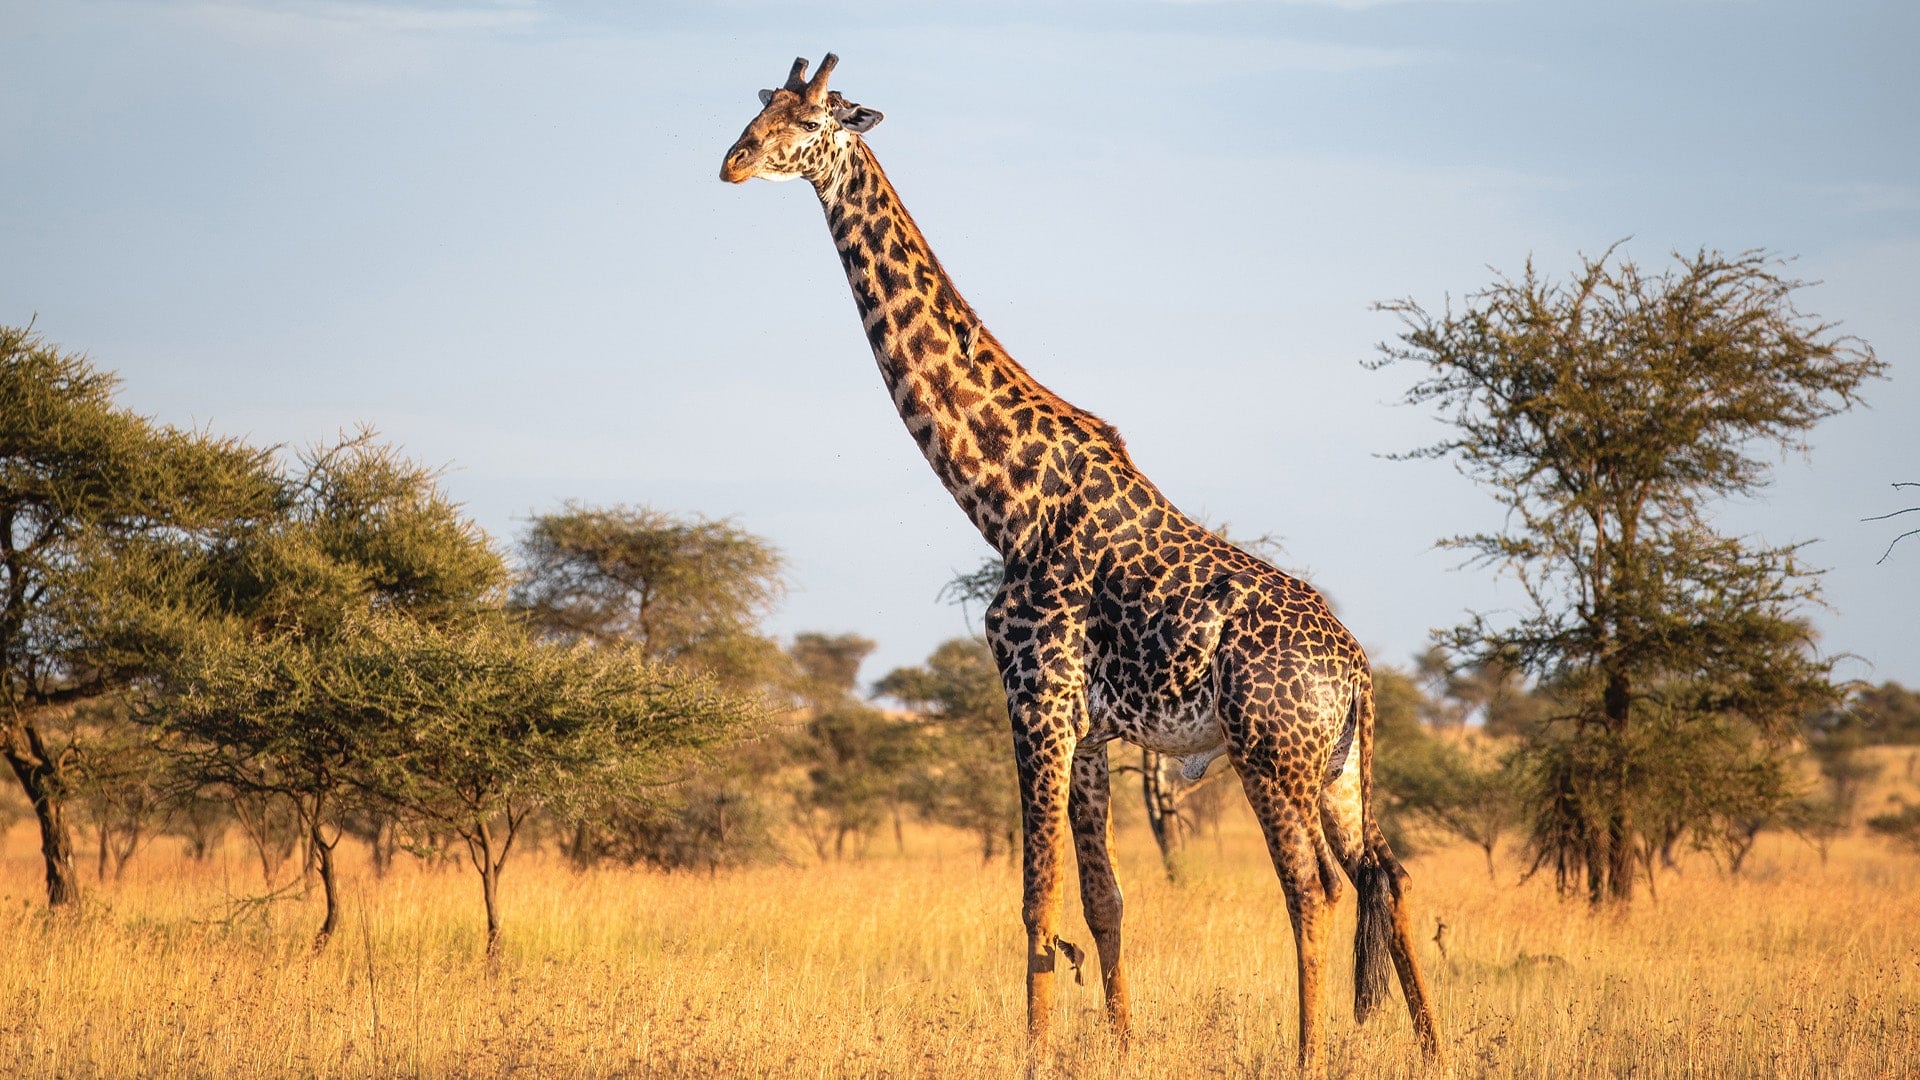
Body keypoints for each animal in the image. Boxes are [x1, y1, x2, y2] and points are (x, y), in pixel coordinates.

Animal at [720, 54, 1441, 1070]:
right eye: (763, 109)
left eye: (812, 120)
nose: (733, 162)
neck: (1006, 501)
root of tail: (1360, 673)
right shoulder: (1095, 730)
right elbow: (1105, 902)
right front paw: (1122, 1042)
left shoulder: (1037, 698)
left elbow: (1037, 899)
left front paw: (1034, 1051)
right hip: (1337, 768)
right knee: (1390, 874)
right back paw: (1434, 1050)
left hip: (1270, 755)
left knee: (1316, 892)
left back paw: (1308, 1056)